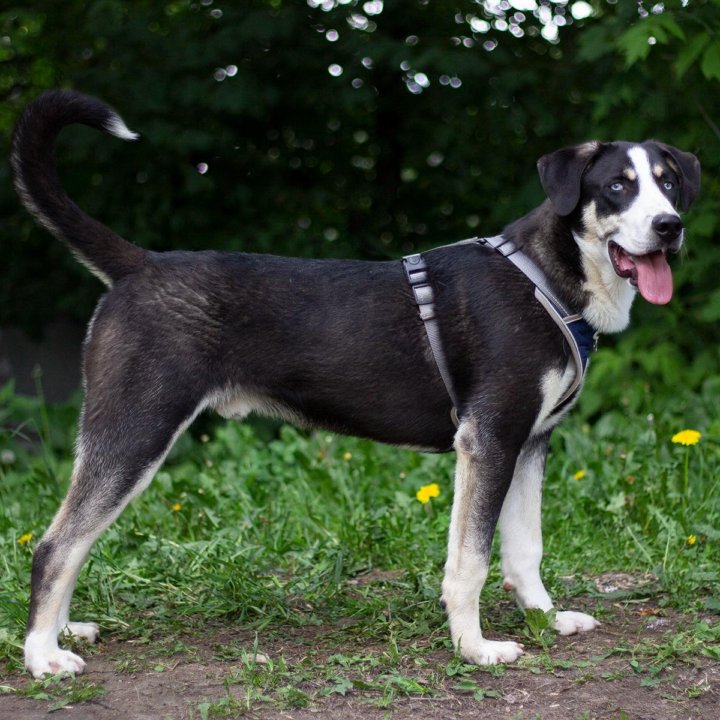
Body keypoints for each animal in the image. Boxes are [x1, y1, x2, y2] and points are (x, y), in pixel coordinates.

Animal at [9, 88, 696, 676]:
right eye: (616, 187)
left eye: (668, 184)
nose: (670, 226)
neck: (546, 277)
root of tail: (139, 265)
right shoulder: (489, 440)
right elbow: (469, 561)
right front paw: (474, 648)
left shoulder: (529, 442)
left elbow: (525, 550)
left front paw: (546, 619)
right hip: (135, 432)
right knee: (54, 545)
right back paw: (42, 656)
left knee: (73, 540)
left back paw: (62, 632)